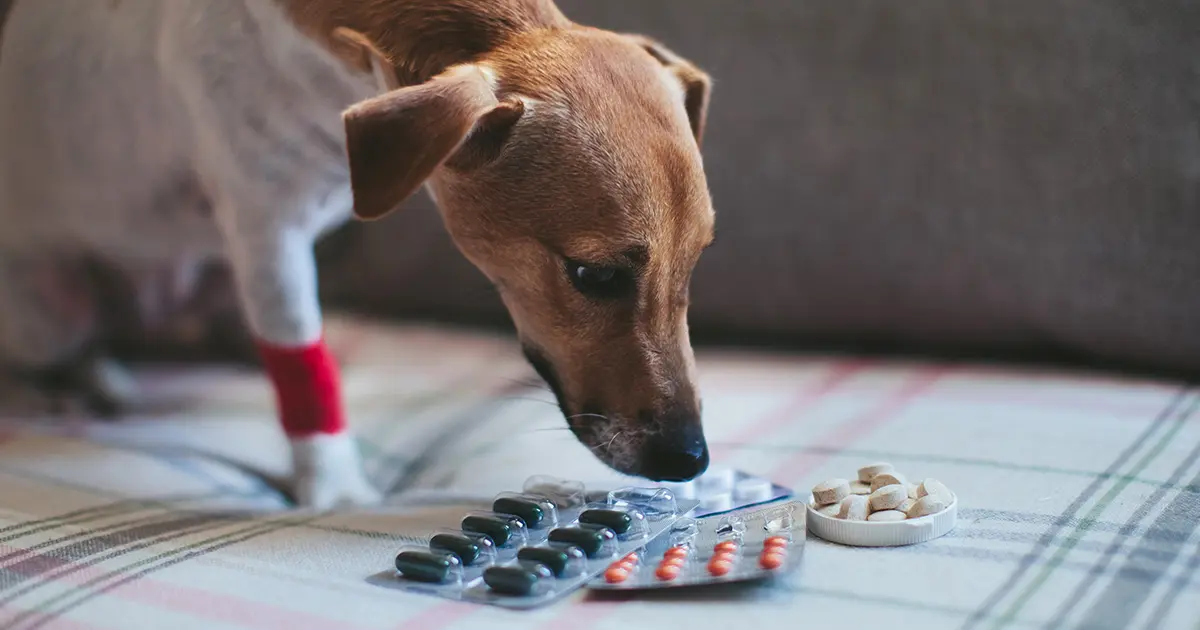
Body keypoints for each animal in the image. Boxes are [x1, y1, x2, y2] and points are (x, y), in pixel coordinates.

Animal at [0, 0, 710, 506]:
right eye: (592, 274)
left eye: (696, 259)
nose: (693, 461)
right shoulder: (269, 234)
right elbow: (299, 364)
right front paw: (335, 488)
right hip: (52, 308)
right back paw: (72, 385)